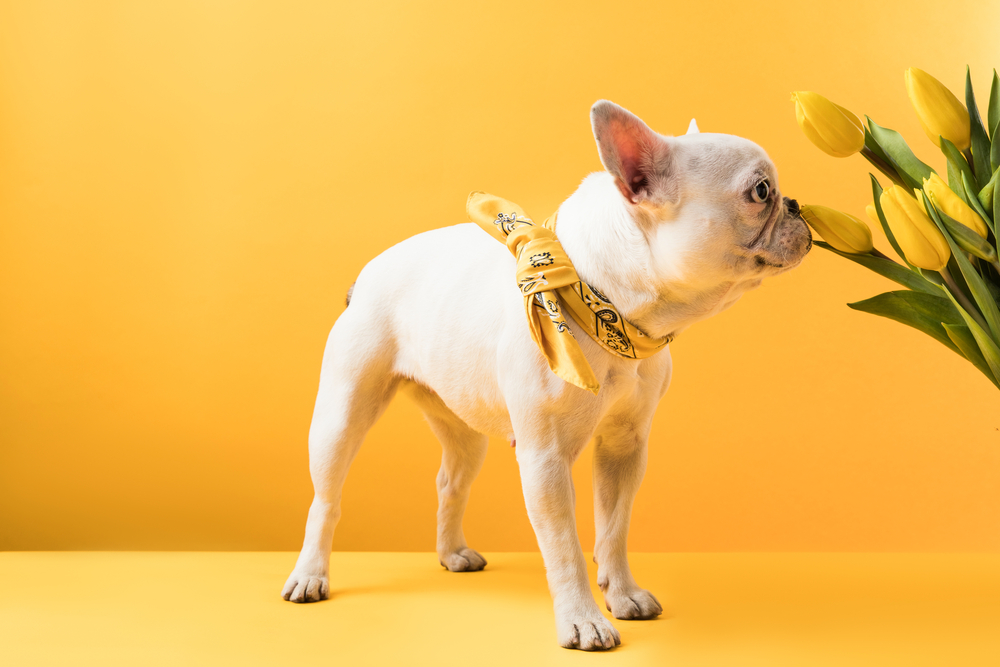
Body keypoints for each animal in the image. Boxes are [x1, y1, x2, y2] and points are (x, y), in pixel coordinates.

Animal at [282, 100, 812, 652]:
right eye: (760, 191)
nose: (797, 204)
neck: (602, 304)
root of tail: (364, 276)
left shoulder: (625, 446)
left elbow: (614, 528)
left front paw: (622, 594)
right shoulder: (546, 458)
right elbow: (564, 546)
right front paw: (583, 620)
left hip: (464, 427)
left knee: (451, 481)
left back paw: (452, 553)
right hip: (341, 415)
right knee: (326, 499)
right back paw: (310, 574)